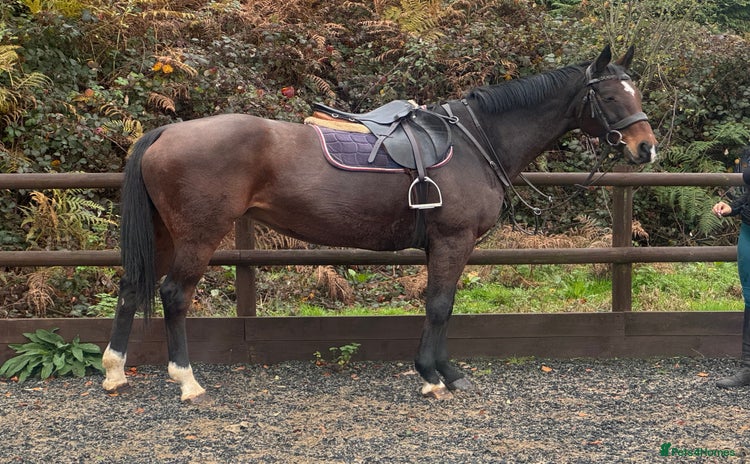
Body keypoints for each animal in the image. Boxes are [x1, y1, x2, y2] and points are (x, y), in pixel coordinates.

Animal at [102, 45, 657, 403]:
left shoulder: (441, 245)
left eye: (637, 93)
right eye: (611, 97)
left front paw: (440, 371)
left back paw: (114, 371)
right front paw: (438, 376)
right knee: (174, 294)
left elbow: (439, 306)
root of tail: (166, 131)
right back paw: (186, 381)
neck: (477, 143)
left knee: (131, 286)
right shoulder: (453, 241)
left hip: (163, 233)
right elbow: (440, 306)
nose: (646, 148)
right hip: (197, 235)